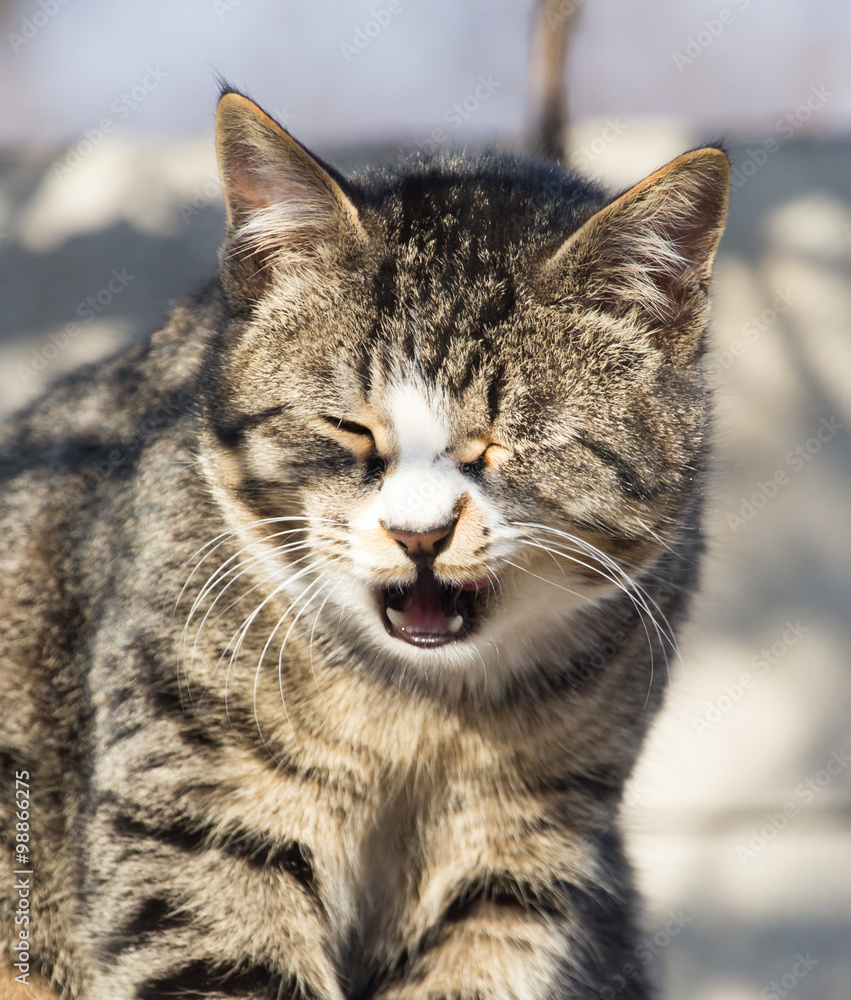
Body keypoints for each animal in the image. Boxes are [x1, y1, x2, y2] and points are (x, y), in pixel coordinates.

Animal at [0, 90, 728, 996]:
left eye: (505, 445)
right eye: (348, 427)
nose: (419, 533)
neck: (419, 714)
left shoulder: (522, 859)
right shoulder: (199, 826)